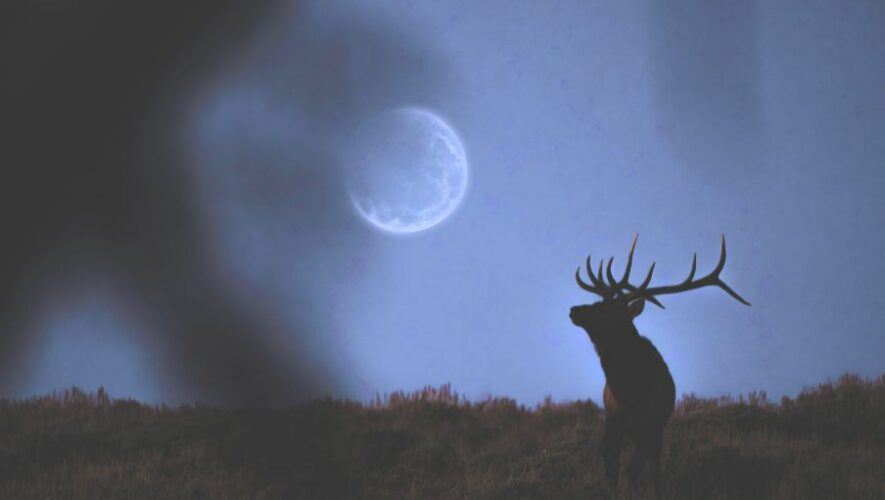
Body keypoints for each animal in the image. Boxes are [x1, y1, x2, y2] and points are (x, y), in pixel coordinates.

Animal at [569, 235, 750, 499]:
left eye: (609, 309)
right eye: (598, 302)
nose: (574, 310)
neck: (631, 392)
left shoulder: (652, 424)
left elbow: (634, 471)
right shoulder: (613, 421)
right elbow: (613, 469)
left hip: (656, 429)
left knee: (651, 467)